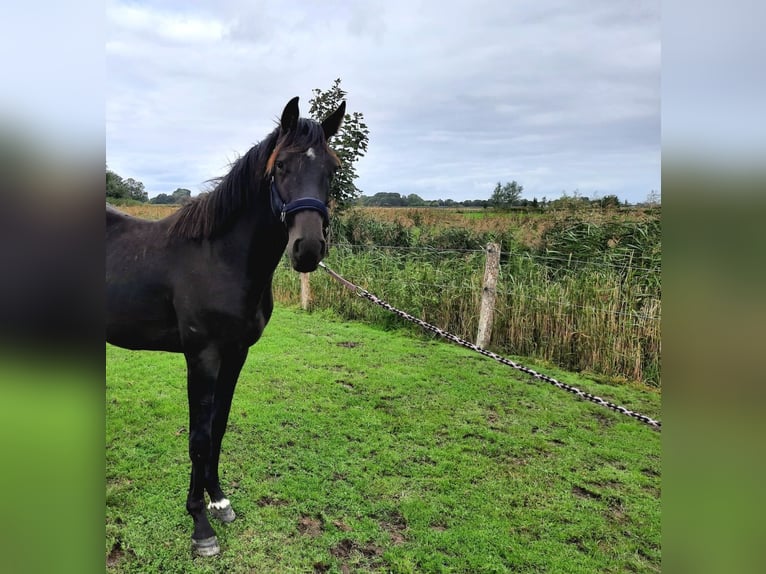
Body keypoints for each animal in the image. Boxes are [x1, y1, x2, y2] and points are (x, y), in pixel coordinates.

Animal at [106, 97, 346, 556]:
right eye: (281, 166)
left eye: (332, 168)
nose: (307, 249)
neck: (221, 257)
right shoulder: (202, 357)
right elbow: (199, 438)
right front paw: (200, 527)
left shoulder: (237, 354)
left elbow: (218, 428)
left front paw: (219, 502)